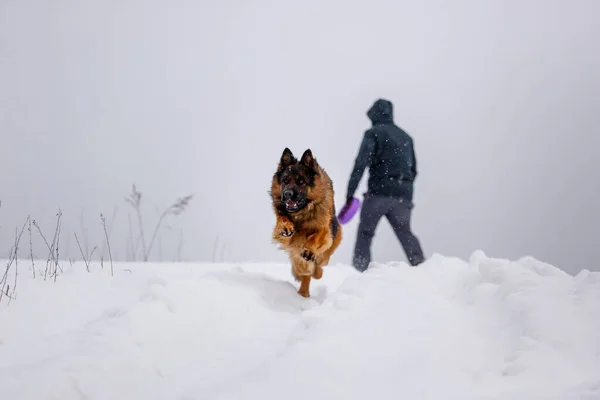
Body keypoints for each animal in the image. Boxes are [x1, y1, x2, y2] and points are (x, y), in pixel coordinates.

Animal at [270, 147, 342, 296]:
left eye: (301, 182)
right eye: (285, 180)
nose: (287, 194)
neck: (302, 213)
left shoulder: (325, 230)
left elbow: (317, 236)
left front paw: (309, 250)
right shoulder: (288, 238)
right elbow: (282, 219)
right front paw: (285, 226)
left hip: (326, 253)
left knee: (318, 265)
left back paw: (315, 273)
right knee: (306, 272)